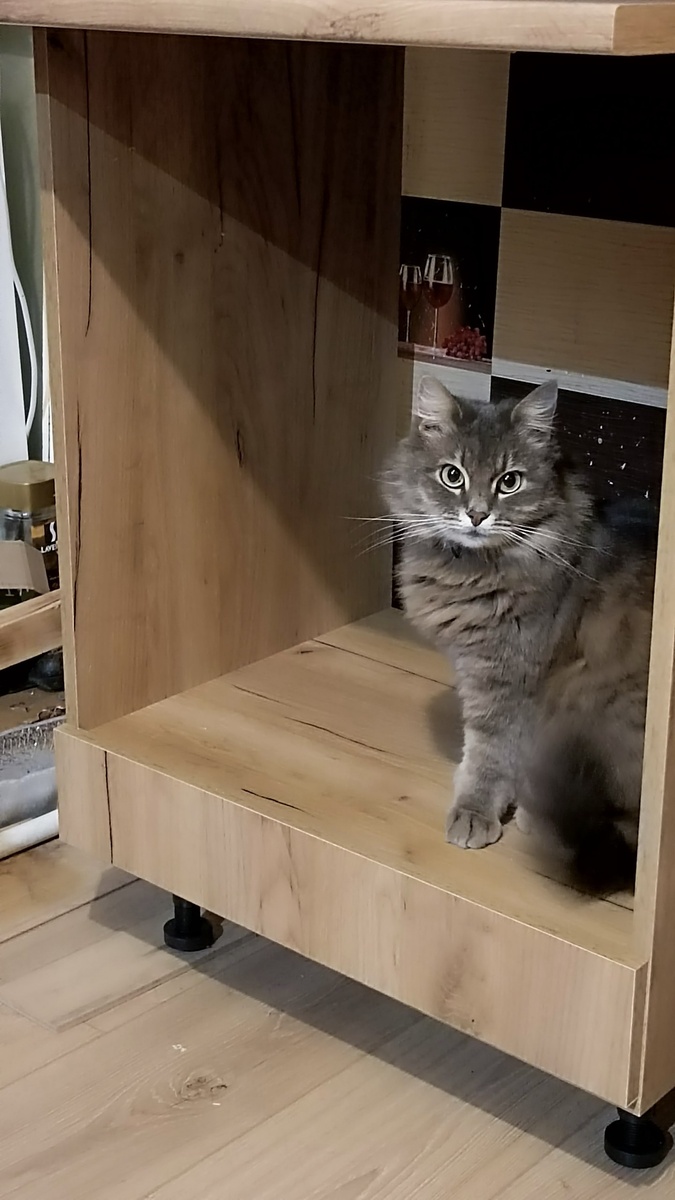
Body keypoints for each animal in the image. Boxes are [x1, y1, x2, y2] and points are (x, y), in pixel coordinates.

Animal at [383, 375, 657, 892]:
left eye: (509, 482)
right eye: (452, 476)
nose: (476, 515)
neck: (473, 571)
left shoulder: (508, 676)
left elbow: (490, 751)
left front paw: (476, 811)